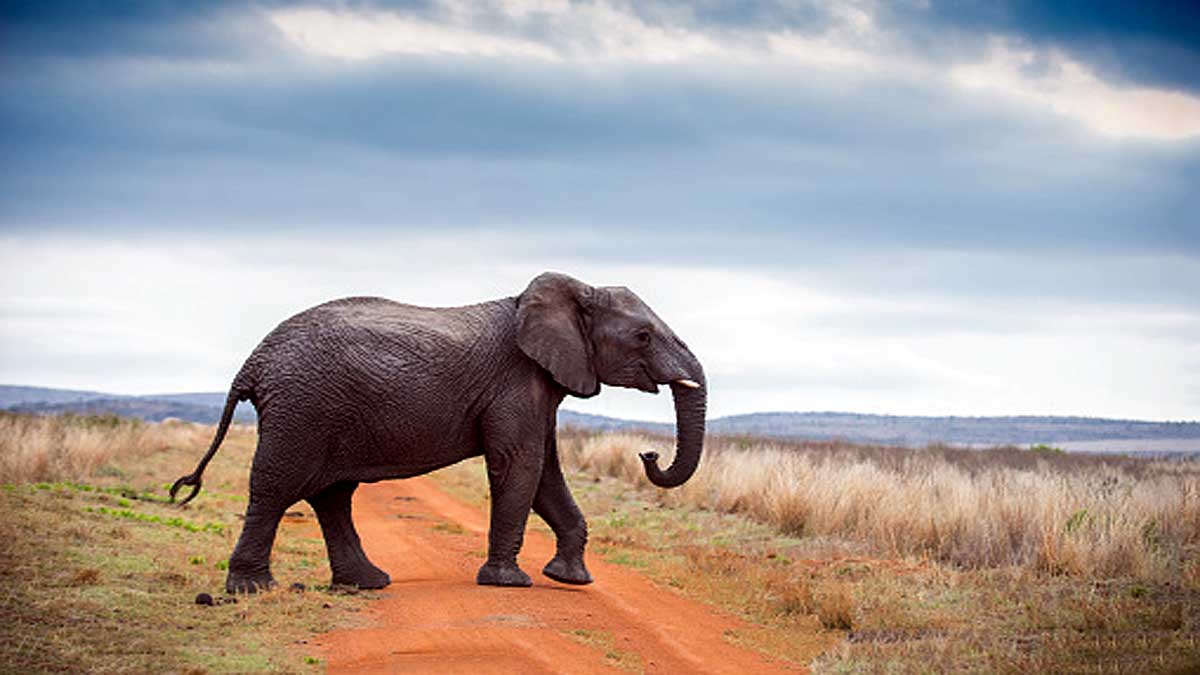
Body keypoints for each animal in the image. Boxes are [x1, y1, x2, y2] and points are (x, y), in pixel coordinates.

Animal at [170, 271, 706, 593]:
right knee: (277, 487)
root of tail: (252, 363)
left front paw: (571, 579)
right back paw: (252, 590)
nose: (648, 455)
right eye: (642, 336)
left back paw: (368, 583)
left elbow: (546, 475)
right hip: (302, 407)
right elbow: (520, 467)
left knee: (332, 495)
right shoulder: (516, 383)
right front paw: (509, 583)